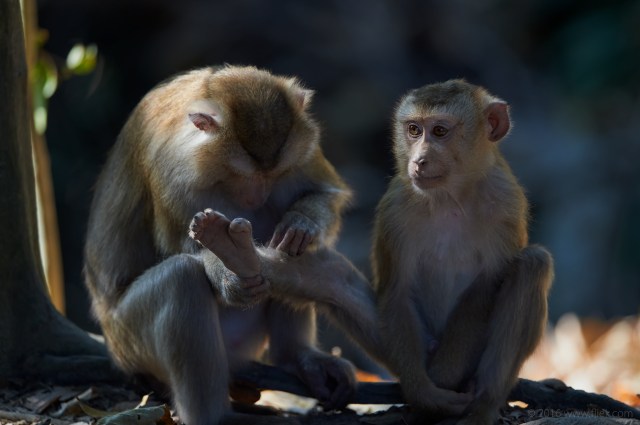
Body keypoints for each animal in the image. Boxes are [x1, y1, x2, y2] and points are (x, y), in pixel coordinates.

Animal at [83, 65, 357, 425]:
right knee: (180, 279)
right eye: (243, 175)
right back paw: (215, 416)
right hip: (130, 343)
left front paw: (302, 222)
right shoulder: (173, 174)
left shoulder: (302, 153)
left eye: (271, 175)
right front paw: (229, 274)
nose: (257, 195)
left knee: (288, 246)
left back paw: (297, 356)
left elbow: (326, 194)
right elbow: (185, 250)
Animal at [190, 79, 553, 424]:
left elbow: (487, 286)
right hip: (394, 346)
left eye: (439, 131)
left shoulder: (506, 204)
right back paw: (238, 255)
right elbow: (396, 290)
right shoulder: (397, 207)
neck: (452, 197)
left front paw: (444, 379)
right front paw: (424, 393)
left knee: (532, 265)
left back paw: (483, 406)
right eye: (414, 130)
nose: (419, 160)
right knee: (333, 280)